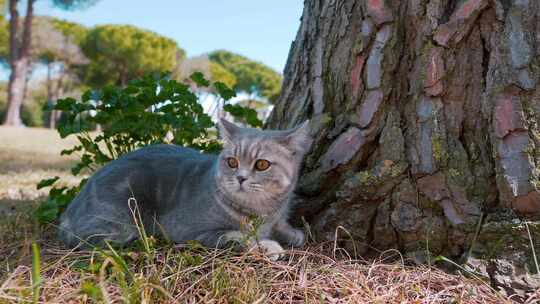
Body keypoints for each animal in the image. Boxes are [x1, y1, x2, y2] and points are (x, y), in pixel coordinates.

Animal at [58, 117, 312, 260]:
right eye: (232, 162)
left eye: (261, 164)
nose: (240, 178)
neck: (261, 212)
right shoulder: (189, 230)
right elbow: (240, 234)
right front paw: (268, 245)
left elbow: (282, 226)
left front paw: (291, 232)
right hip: (124, 221)